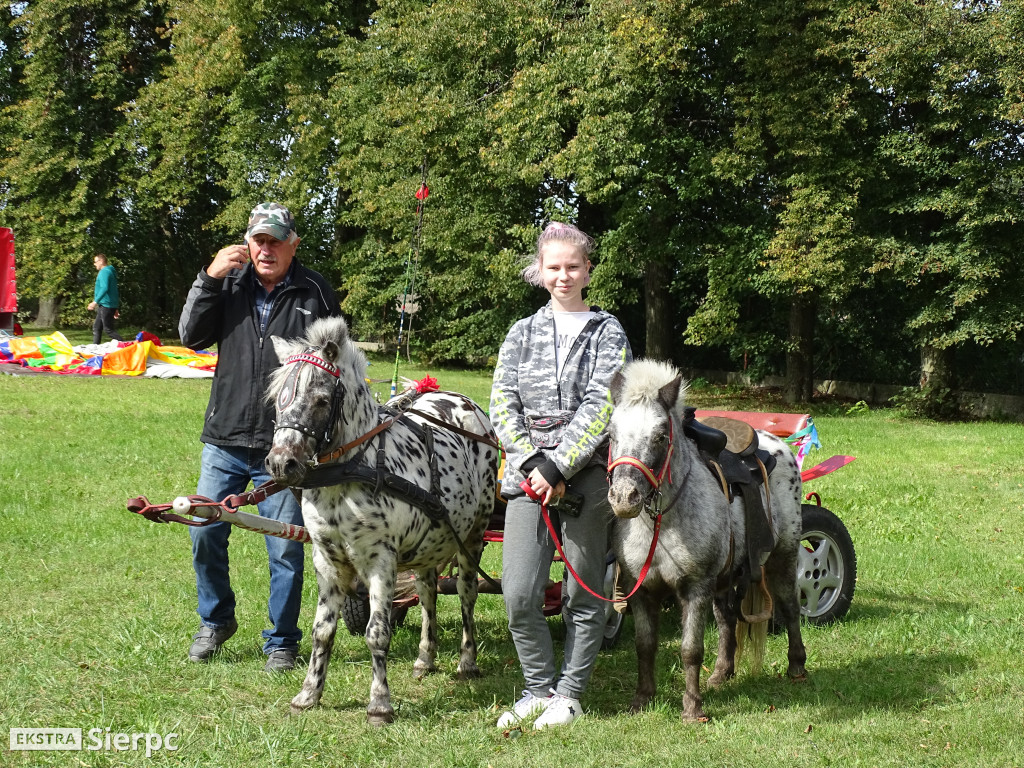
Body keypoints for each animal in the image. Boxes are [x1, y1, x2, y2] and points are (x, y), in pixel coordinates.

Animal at [264, 315, 499, 724]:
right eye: (279, 398)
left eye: (321, 399)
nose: (282, 463)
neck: (351, 470)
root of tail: (468, 405)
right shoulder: (327, 561)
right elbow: (322, 631)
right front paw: (308, 694)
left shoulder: (380, 561)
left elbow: (377, 633)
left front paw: (379, 704)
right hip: (429, 544)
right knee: (428, 591)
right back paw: (425, 658)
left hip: (472, 536)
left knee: (467, 593)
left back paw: (467, 662)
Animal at [606, 360, 806, 720]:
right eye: (611, 434)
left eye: (660, 436)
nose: (625, 498)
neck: (660, 525)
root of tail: (777, 445)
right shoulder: (640, 589)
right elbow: (645, 645)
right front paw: (642, 699)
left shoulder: (695, 587)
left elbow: (690, 650)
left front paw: (692, 709)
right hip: (725, 578)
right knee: (727, 618)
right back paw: (721, 673)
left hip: (782, 557)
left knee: (790, 606)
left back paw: (797, 666)